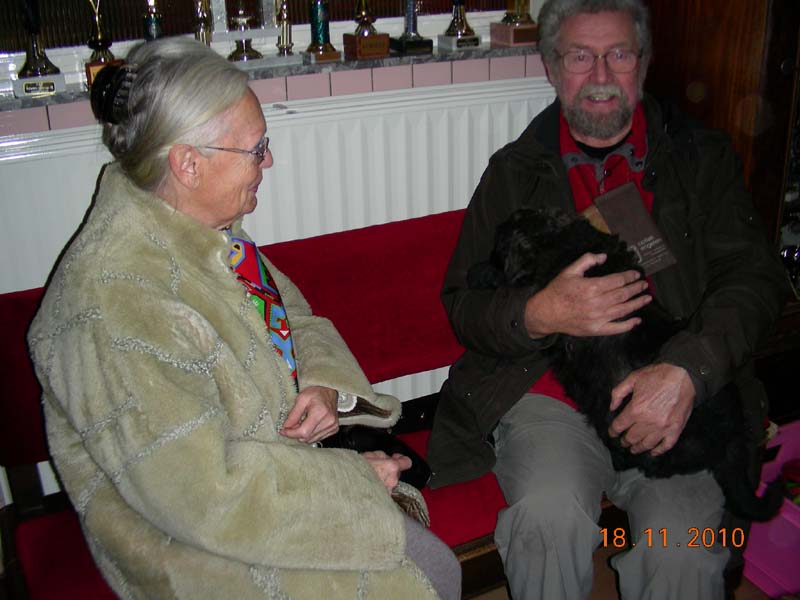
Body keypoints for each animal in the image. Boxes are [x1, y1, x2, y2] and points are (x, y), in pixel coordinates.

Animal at [468, 207, 782, 522]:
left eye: (498, 245)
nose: (489, 257)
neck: (556, 239)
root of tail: (733, 440)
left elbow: (511, 279)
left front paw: (482, 272)